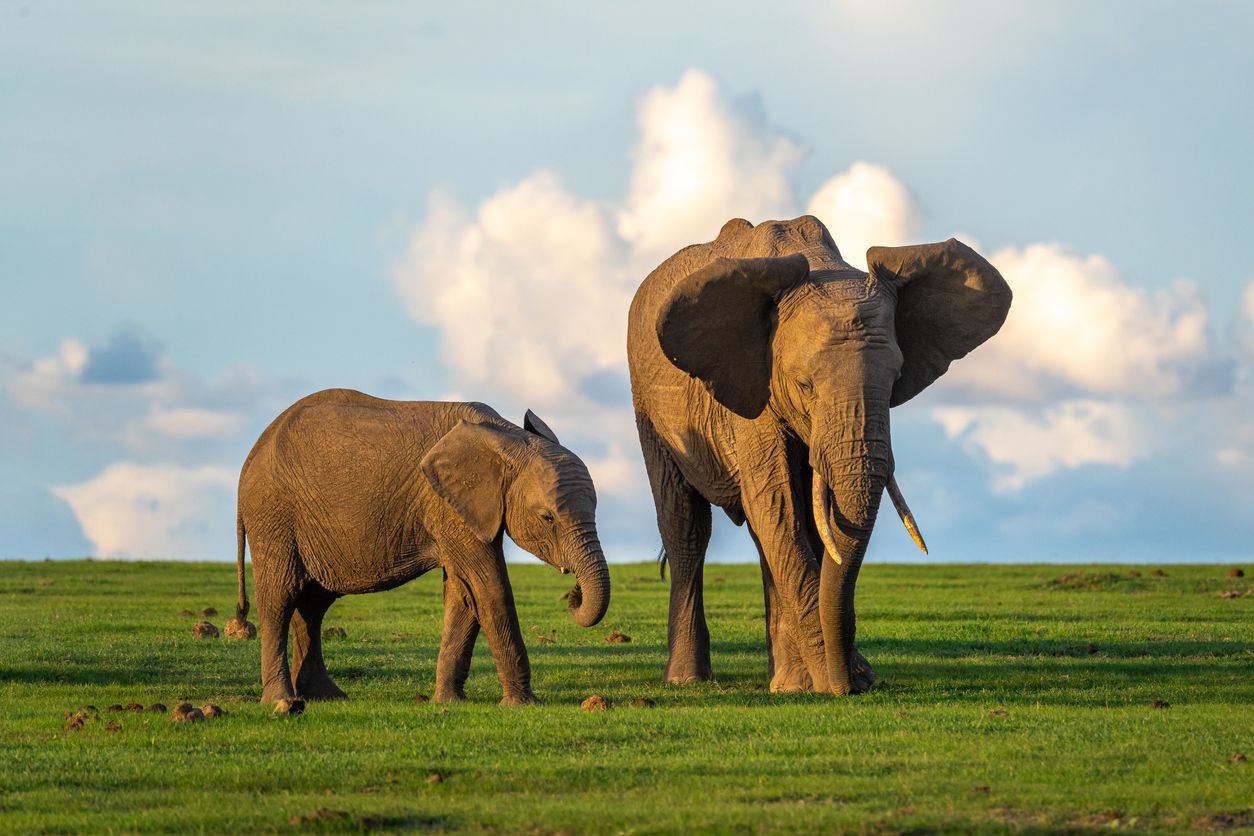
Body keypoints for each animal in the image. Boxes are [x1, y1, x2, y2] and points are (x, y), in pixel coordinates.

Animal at [233, 388, 610, 705]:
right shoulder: (446, 504)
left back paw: (326, 697)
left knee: (312, 604)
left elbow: (463, 593)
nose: (574, 591)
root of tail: (252, 454)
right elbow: (489, 588)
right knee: (280, 599)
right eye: (547, 518)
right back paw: (281, 701)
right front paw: (523, 704)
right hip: (274, 517)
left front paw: (448, 703)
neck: (507, 436)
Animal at [627, 216, 1011, 695]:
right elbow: (777, 507)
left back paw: (787, 681)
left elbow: (802, 519)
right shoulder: (751, 384)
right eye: (805, 384)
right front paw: (840, 678)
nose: (851, 686)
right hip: (648, 405)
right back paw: (687, 680)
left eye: (896, 379)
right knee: (686, 527)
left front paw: (833, 678)